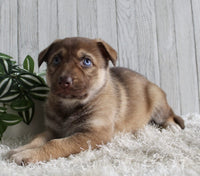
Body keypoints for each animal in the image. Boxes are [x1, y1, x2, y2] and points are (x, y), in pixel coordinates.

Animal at [9, 36, 184, 165]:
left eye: (86, 61)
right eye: (56, 60)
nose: (64, 81)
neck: (71, 105)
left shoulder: (93, 134)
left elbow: (57, 143)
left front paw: (28, 155)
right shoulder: (52, 130)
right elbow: (38, 138)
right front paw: (23, 148)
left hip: (157, 100)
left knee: (168, 115)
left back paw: (172, 126)